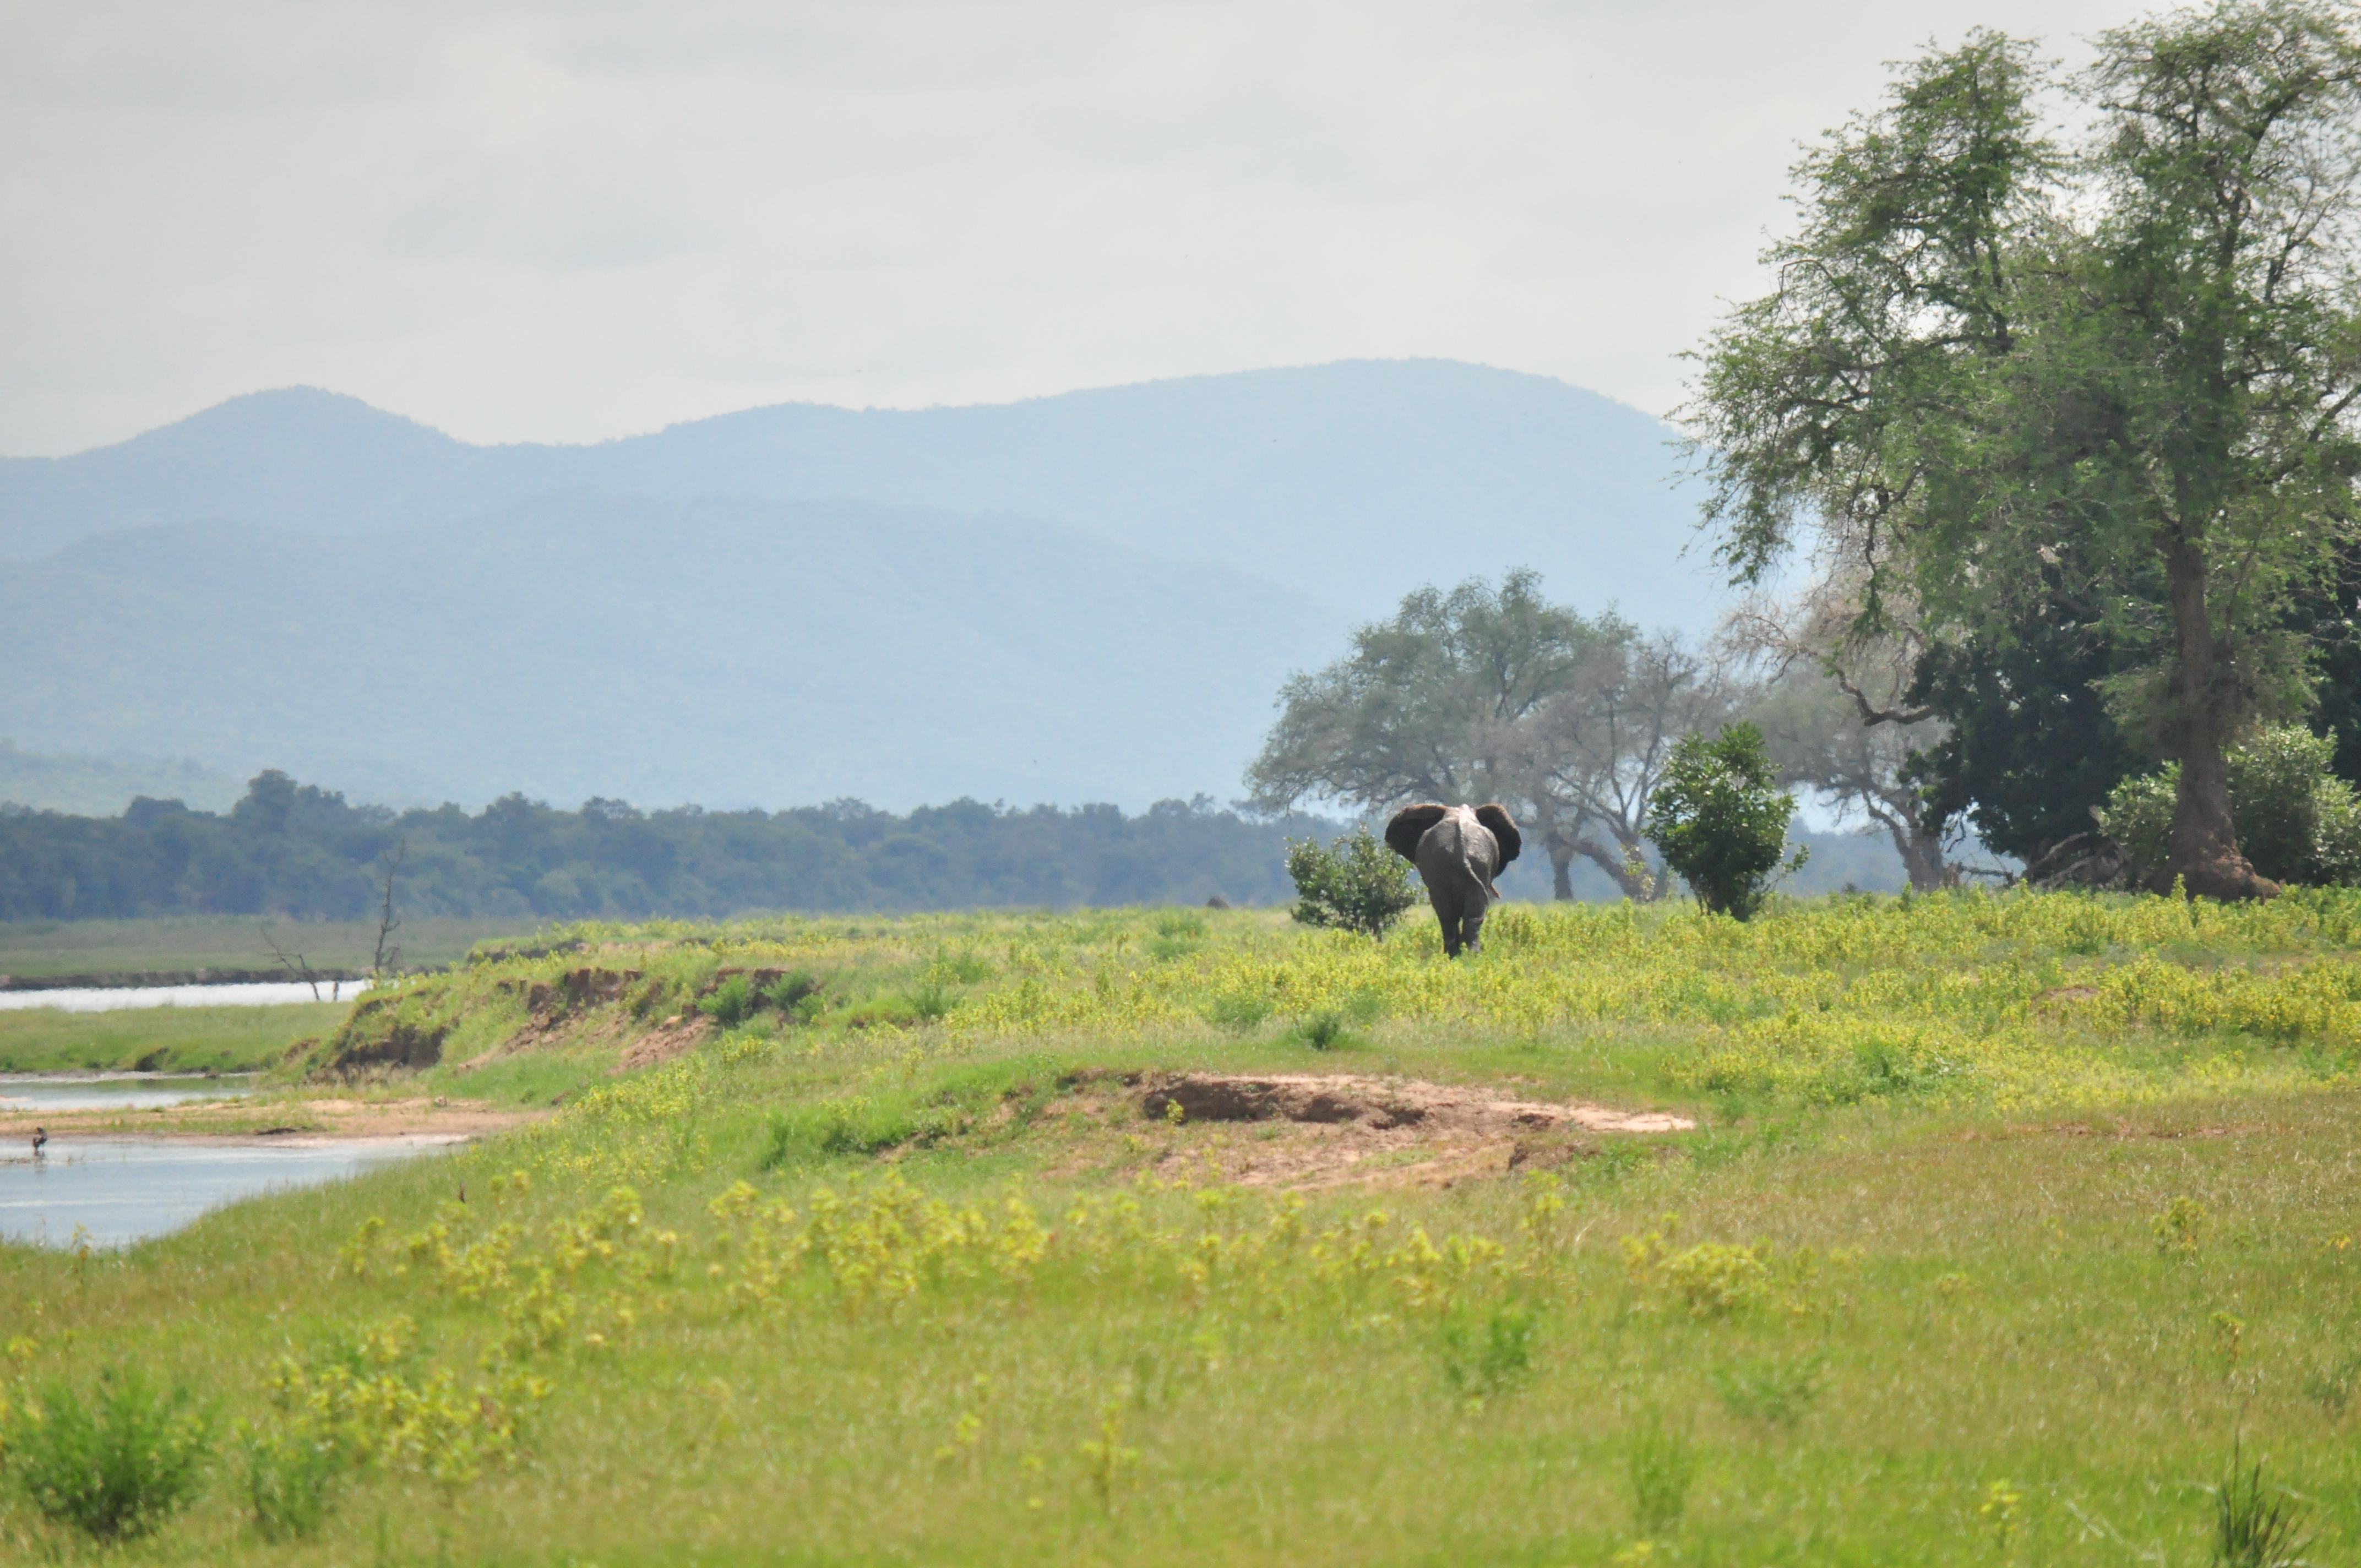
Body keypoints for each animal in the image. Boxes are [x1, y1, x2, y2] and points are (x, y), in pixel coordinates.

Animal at [1379, 807, 1520, 954]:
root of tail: (1460, 853)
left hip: (1466, 864)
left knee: (1453, 916)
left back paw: (1462, 955)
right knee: (1458, 916)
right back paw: (1465, 955)